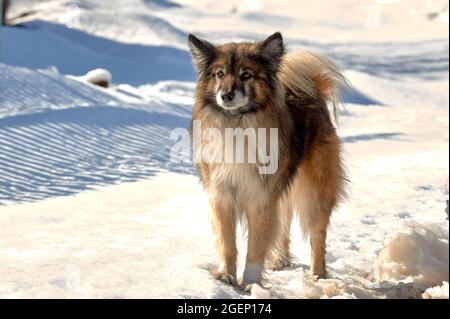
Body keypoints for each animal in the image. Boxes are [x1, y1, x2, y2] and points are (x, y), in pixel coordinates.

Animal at [188, 32, 346, 290]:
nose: (226, 95)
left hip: (314, 192)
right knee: (284, 224)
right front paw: (226, 276)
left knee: (317, 235)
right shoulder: (222, 194)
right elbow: (228, 243)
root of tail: (312, 91)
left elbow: (255, 246)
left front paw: (251, 283)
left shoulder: (260, 197)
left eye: (246, 75)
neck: (238, 124)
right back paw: (281, 260)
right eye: (220, 74)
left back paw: (317, 275)